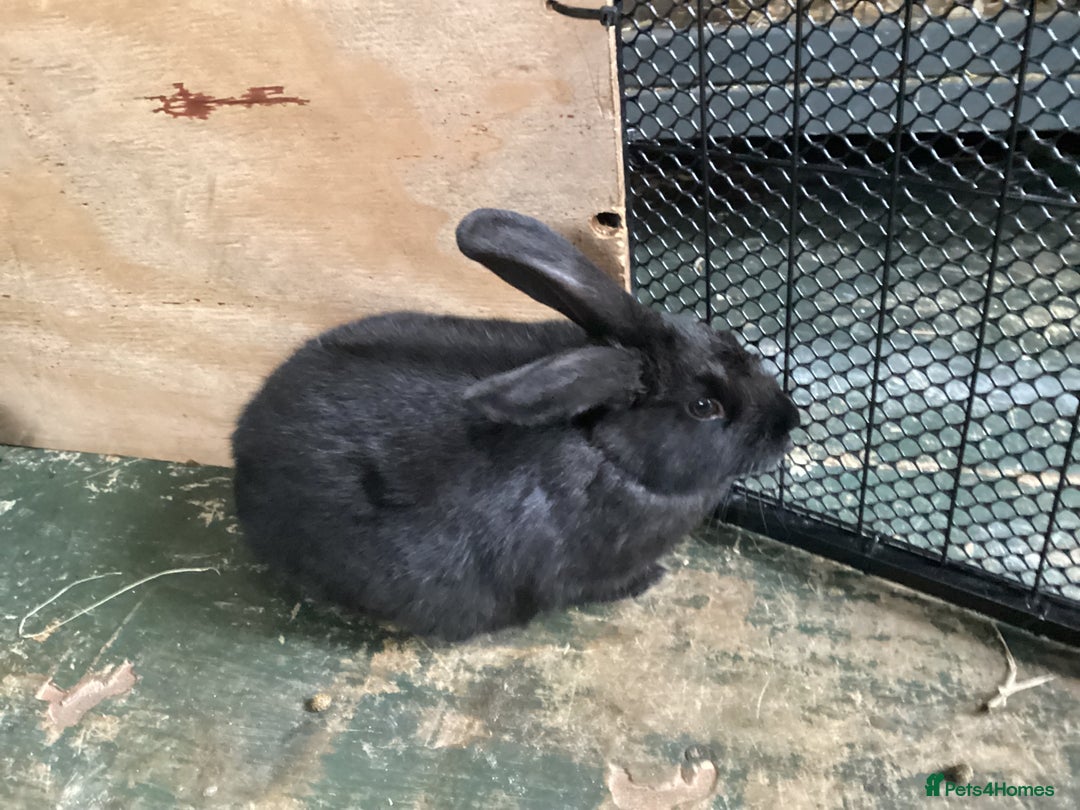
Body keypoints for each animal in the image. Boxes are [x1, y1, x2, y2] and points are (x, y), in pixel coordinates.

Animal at [231, 208, 800, 641]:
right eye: (704, 407)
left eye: (728, 339)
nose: (788, 421)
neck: (608, 453)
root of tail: (242, 447)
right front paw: (650, 580)